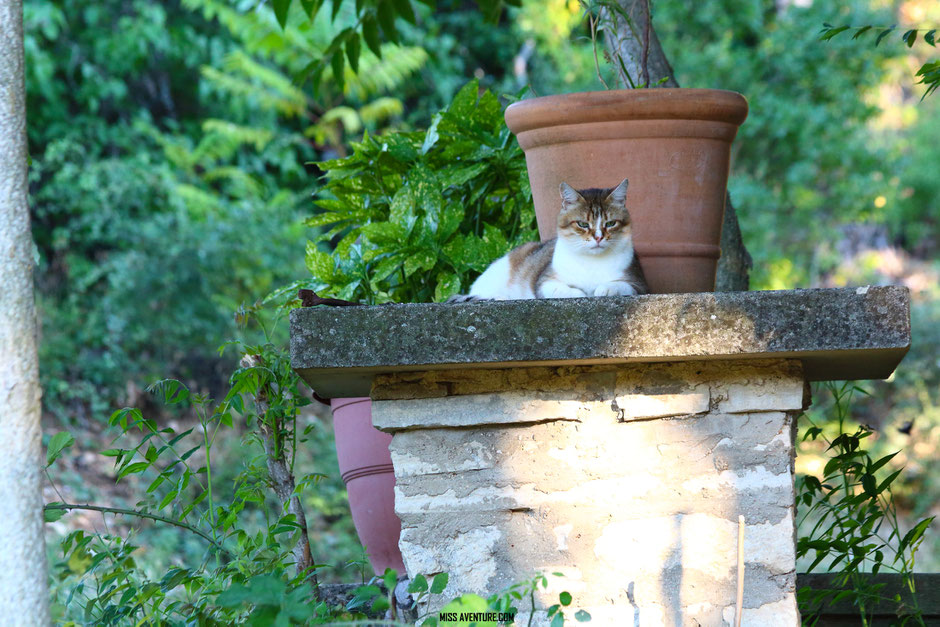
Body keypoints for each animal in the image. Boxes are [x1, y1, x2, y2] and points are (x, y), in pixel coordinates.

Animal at [454, 179, 648, 302]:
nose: (599, 237)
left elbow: (621, 286)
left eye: (610, 223)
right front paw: (580, 293)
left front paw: (604, 289)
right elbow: (562, 290)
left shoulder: (639, 283)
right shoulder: (544, 281)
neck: (591, 262)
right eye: (583, 224)